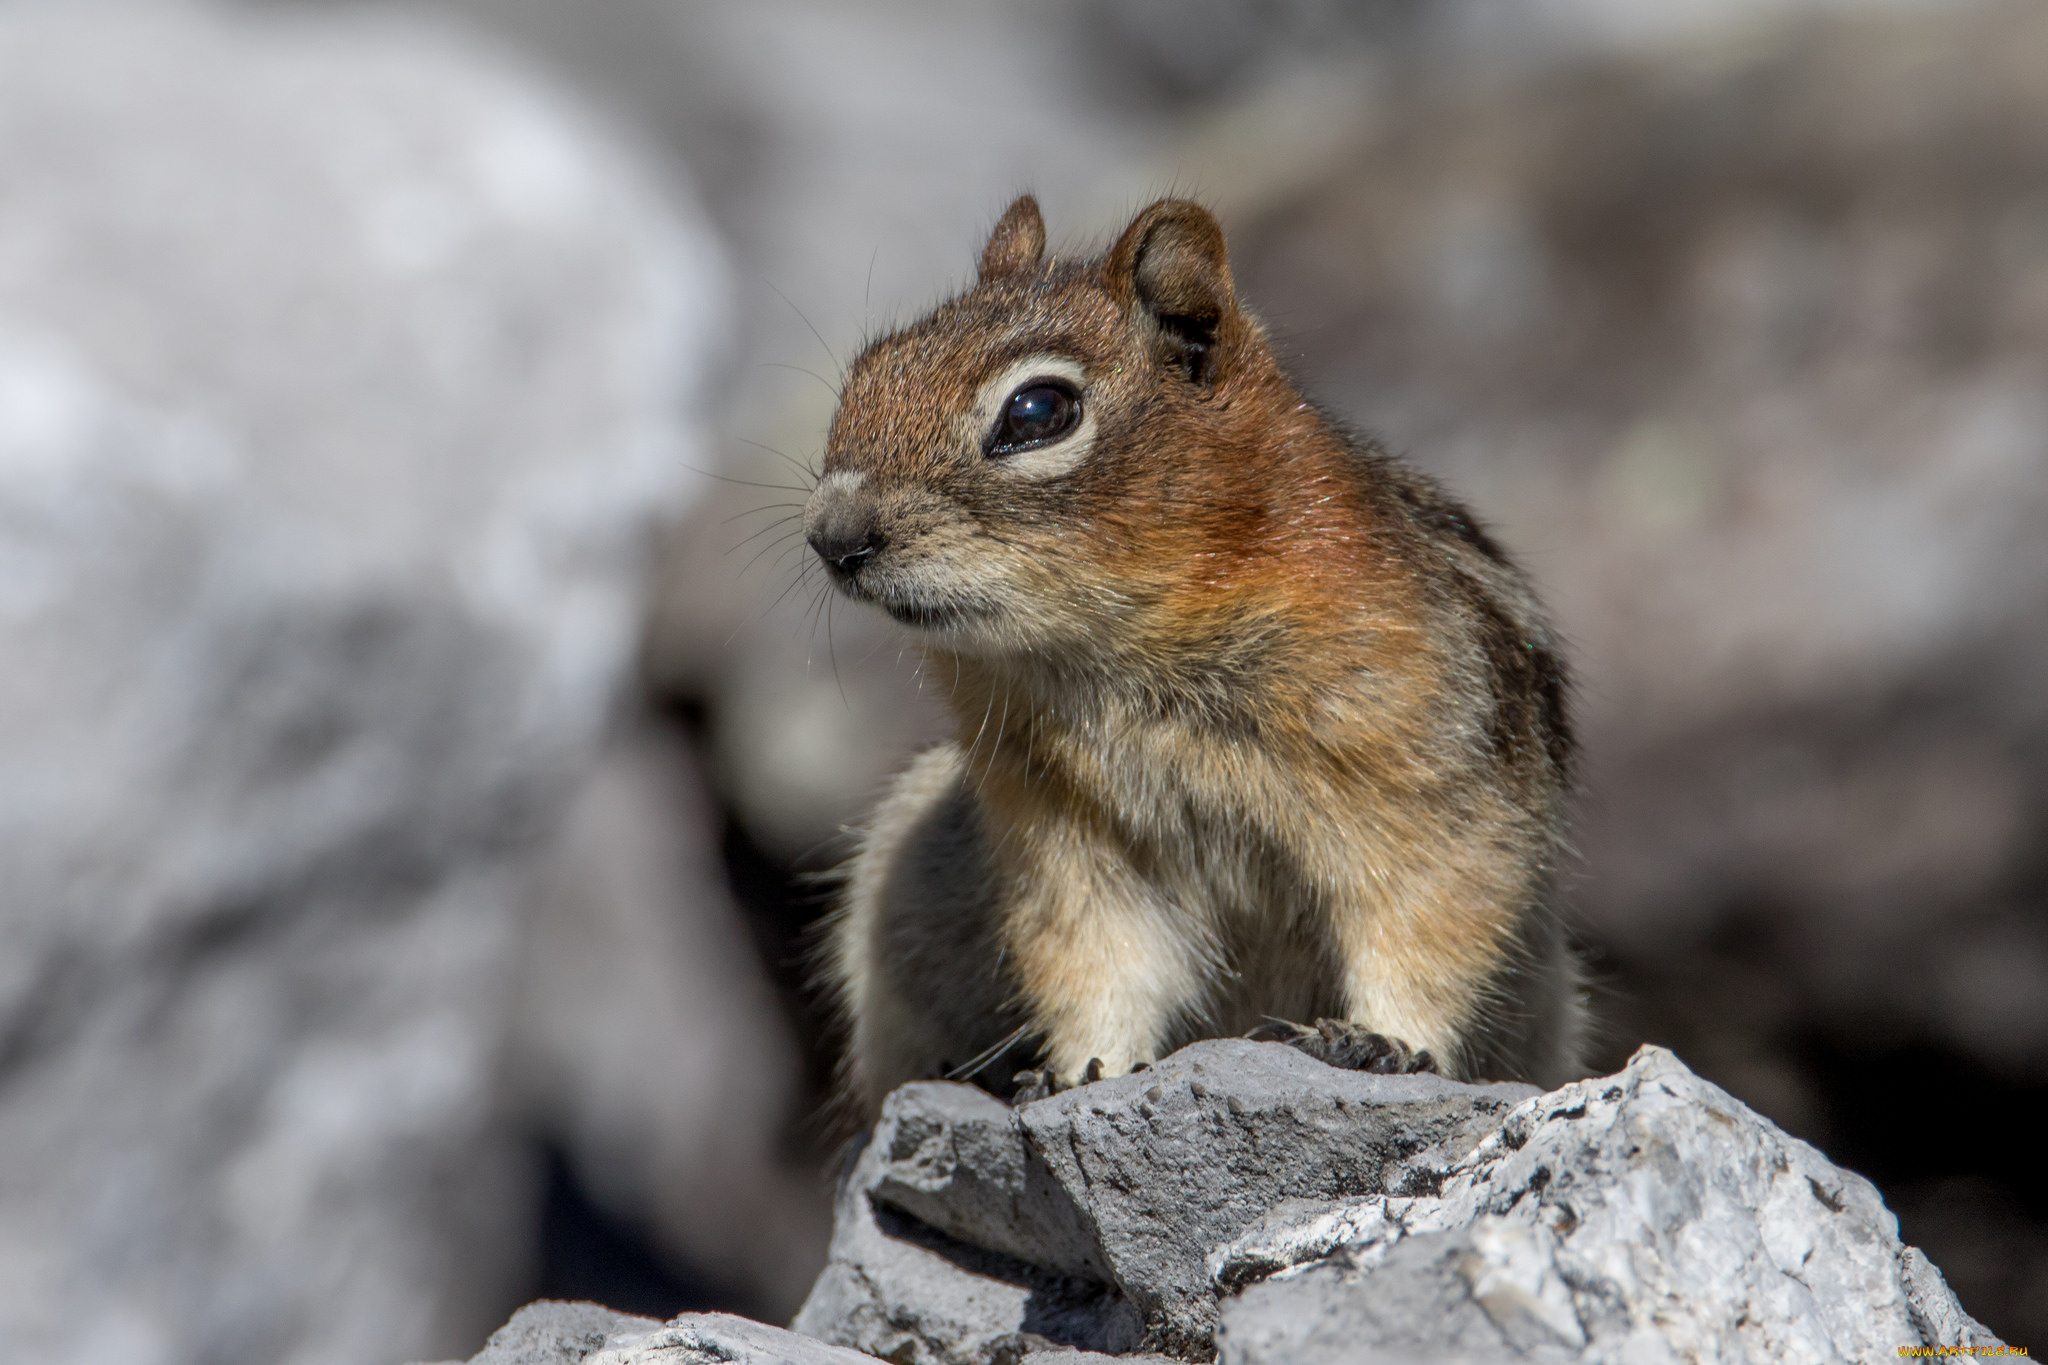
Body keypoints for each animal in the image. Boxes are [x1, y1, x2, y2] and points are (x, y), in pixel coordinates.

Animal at [798, 197, 1581, 1129]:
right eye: (868, 368)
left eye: (1036, 411)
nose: (833, 538)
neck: (1121, 654)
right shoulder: (1068, 842)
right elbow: (1097, 958)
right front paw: (1083, 1069)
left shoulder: (1429, 785)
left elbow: (1430, 920)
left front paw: (1380, 1039)